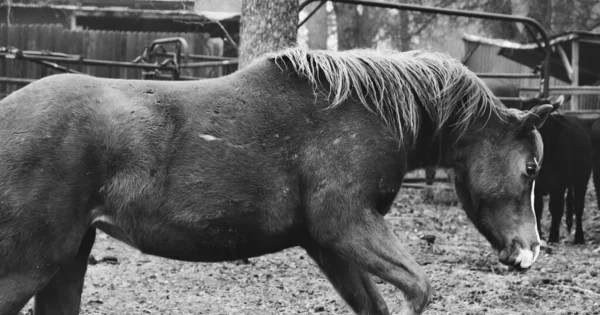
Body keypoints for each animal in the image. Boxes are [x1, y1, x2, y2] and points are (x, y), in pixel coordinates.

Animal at [0, 48, 552, 315]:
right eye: (530, 168)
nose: (529, 250)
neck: (365, 111)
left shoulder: (326, 244)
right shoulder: (345, 226)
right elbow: (418, 288)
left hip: (67, 261)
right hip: (29, 266)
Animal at [520, 98, 596, 244]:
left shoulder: (558, 186)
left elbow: (555, 208)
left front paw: (553, 237)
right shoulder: (536, 186)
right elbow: (538, 208)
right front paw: (540, 234)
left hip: (582, 180)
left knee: (578, 207)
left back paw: (579, 237)